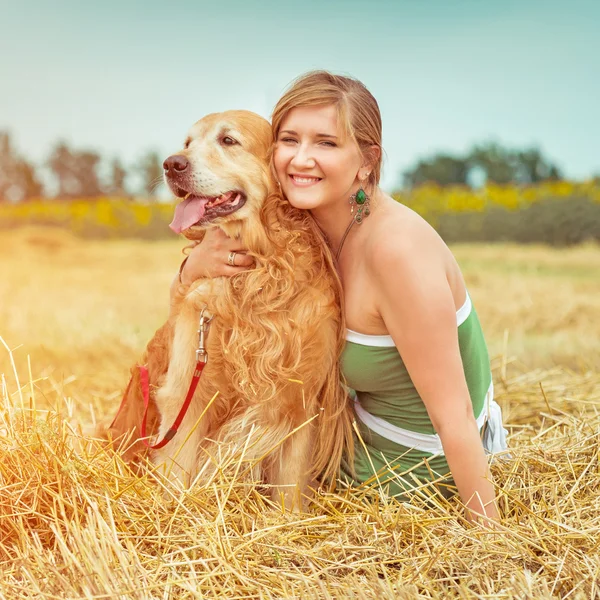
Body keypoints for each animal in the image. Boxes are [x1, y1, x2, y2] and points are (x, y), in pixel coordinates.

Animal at [96, 111, 354, 506]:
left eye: (228, 140)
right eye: (187, 143)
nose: (171, 164)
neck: (258, 274)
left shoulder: (302, 398)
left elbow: (291, 488)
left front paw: (289, 518)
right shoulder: (188, 390)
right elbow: (178, 472)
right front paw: (174, 513)